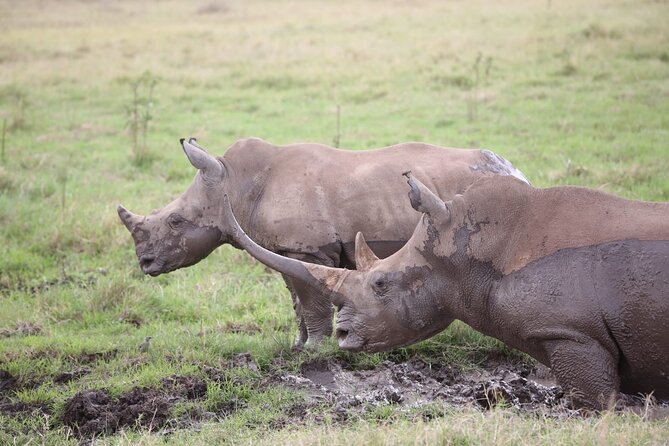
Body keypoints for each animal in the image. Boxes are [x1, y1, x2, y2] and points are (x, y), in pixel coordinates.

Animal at [118, 138, 528, 346]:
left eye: (175, 221)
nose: (145, 263)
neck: (235, 182)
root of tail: (513, 169)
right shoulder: (286, 248)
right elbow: (297, 298)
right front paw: (298, 347)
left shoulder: (307, 247)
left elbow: (311, 298)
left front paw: (316, 349)